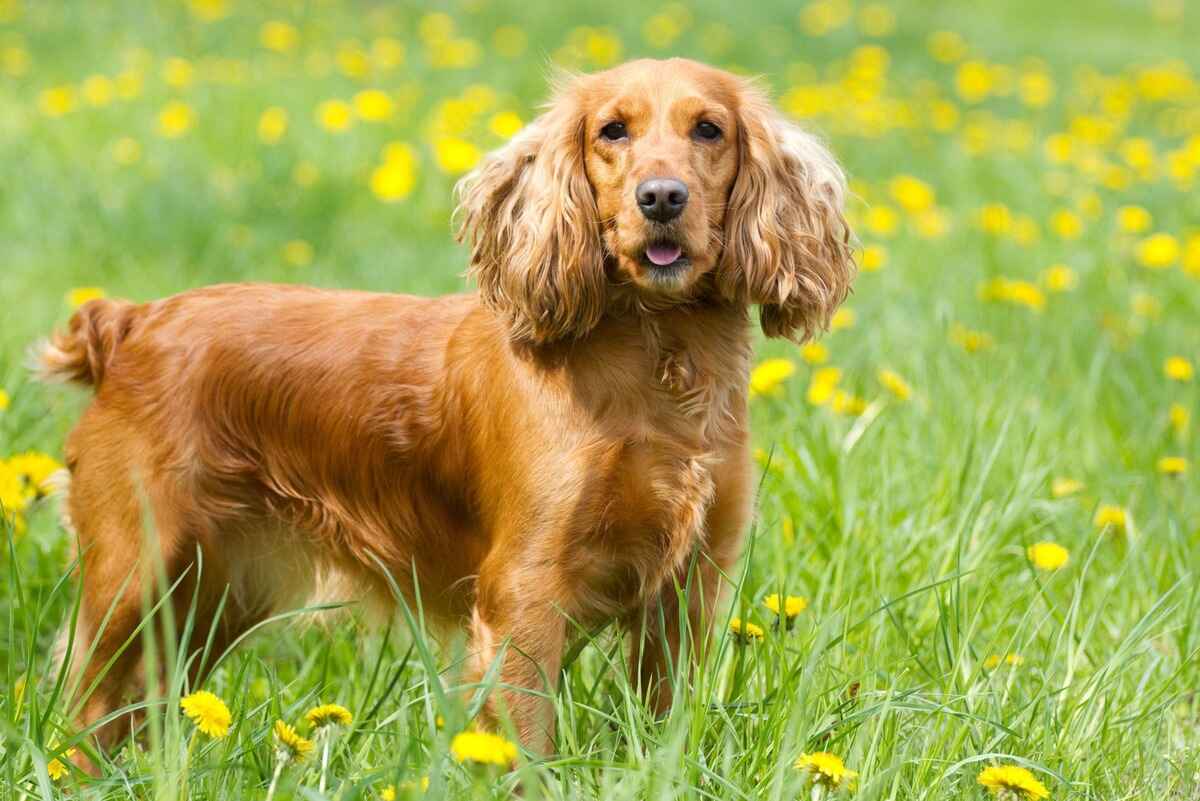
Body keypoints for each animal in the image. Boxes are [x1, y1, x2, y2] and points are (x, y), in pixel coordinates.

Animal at [37, 59, 854, 753]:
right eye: (612, 131)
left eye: (708, 129)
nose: (661, 197)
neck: (657, 359)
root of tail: (131, 322)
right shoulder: (524, 592)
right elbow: (527, 744)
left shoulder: (689, 587)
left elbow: (664, 726)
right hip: (134, 574)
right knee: (84, 707)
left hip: (210, 596)